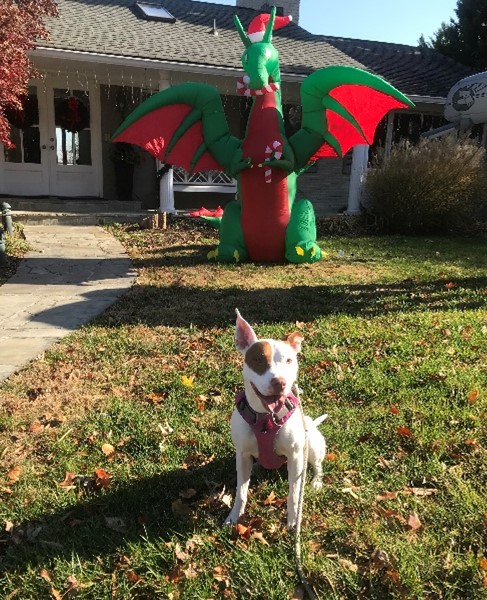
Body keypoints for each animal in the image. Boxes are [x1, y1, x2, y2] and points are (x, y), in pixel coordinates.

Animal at [226, 312, 328, 528]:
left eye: (289, 360)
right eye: (258, 359)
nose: (279, 382)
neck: (266, 419)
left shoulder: (296, 457)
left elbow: (294, 494)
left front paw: (293, 521)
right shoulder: (242, 454)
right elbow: (241, 491)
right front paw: (234, 516)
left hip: (312, 445)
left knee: (317, 466)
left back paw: (316, 481)